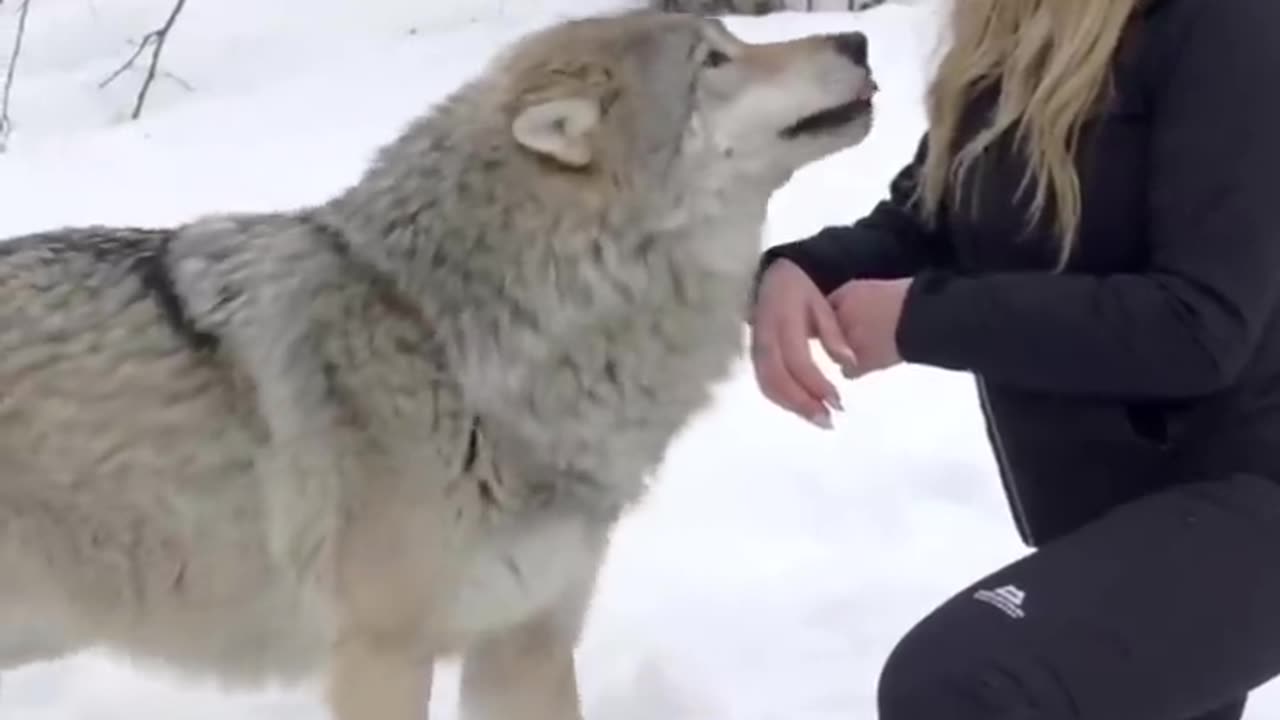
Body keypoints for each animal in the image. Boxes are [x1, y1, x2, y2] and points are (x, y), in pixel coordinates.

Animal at [0, 9, 875, 717]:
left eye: (730, 42)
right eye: (714, 60)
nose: (858, 40)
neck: (453, 343)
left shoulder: (527, 642)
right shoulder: (382, 654)